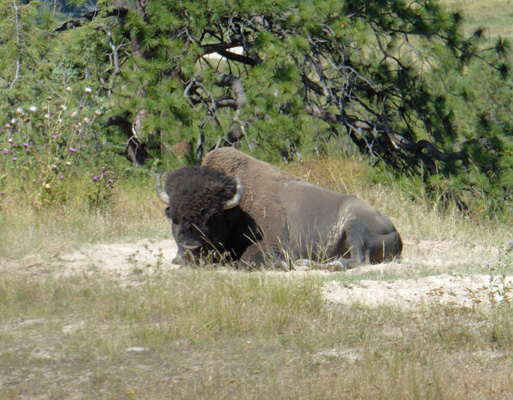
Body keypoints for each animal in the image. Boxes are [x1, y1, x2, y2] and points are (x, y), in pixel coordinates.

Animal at [154, 147, 402, 268]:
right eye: (174, 217)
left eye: (213, 216)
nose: (190, 248)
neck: (237, 210)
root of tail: (396, 232)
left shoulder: (271, 243)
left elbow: (247, 261)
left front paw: (281, 264)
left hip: (355, 227)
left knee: (358, 260)